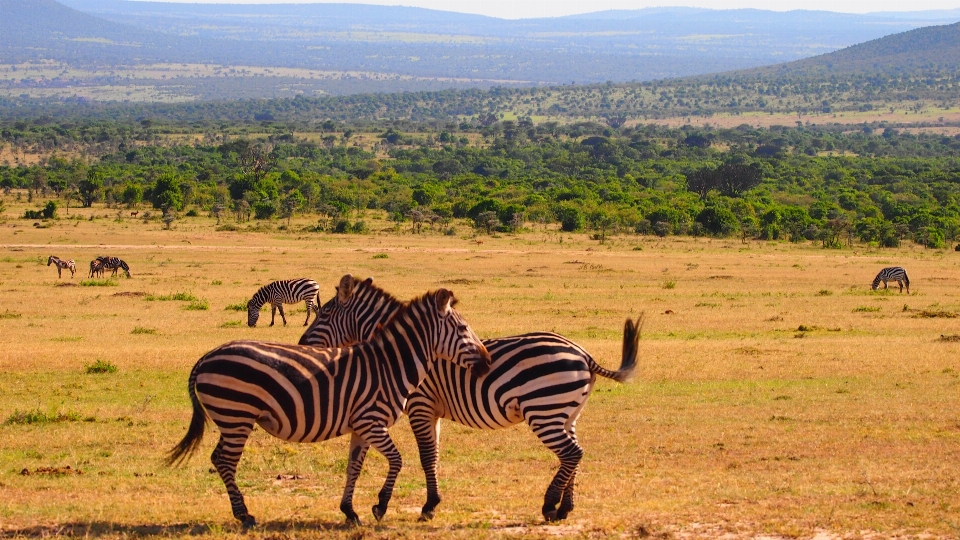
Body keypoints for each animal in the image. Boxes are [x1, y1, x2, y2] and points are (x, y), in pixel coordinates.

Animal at [165, 288, 492, 524]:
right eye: (464, 328)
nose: (488, 363)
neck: (388, 365)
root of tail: (206, 357)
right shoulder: (372, 422)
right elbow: (397, 461)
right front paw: (380, 506)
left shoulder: (361, 427)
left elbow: (353, 467)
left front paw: (350, 511)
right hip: (237, 417)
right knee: (225, 461)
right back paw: (244, 515)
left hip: (233, 419)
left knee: (219, 458)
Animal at [300, 276, 644, 520]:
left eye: (325, 313)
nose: (302, 343)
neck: (403, 351)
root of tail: (584, 354)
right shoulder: (431, 410)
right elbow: (434, 455)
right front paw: (431, 503)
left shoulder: (421, 405)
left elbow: (427, 456)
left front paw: (428, 506)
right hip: (567, 413)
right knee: (573, 454)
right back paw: (564, 508)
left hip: (544, 411)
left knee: (571, 453)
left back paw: (549, 506)